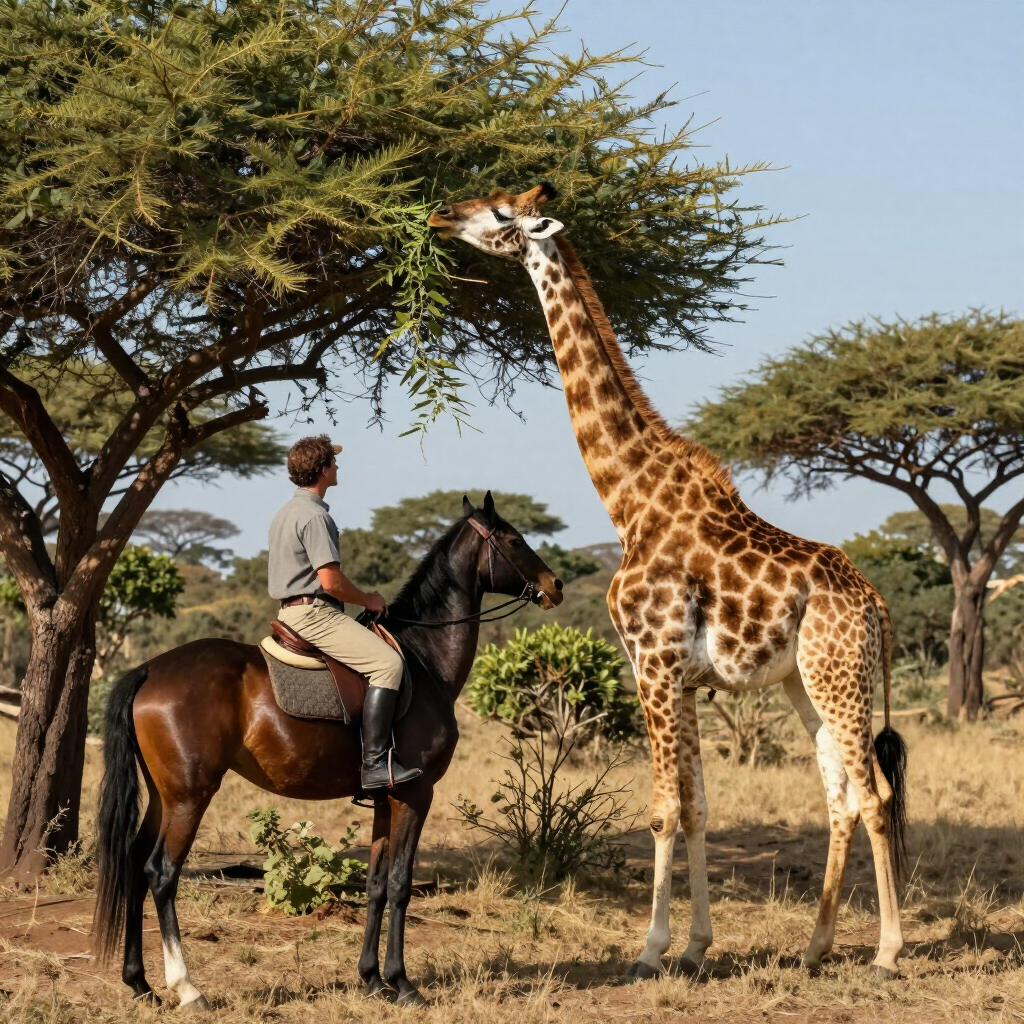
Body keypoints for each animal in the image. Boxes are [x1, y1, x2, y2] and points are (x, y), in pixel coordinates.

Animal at [428, 184, 909, 980]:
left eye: (499, 214)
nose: (438, 214)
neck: (629, 501)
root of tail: (875, 605)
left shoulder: (651, 665)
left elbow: (661, 809)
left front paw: (650, 950)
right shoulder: (679, 678)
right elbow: (697, 806)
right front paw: (695, 945)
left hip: (840, 676)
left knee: (874, 795)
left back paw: (888, 952)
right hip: (804, 682)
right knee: (840, 794)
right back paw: (815, 946)